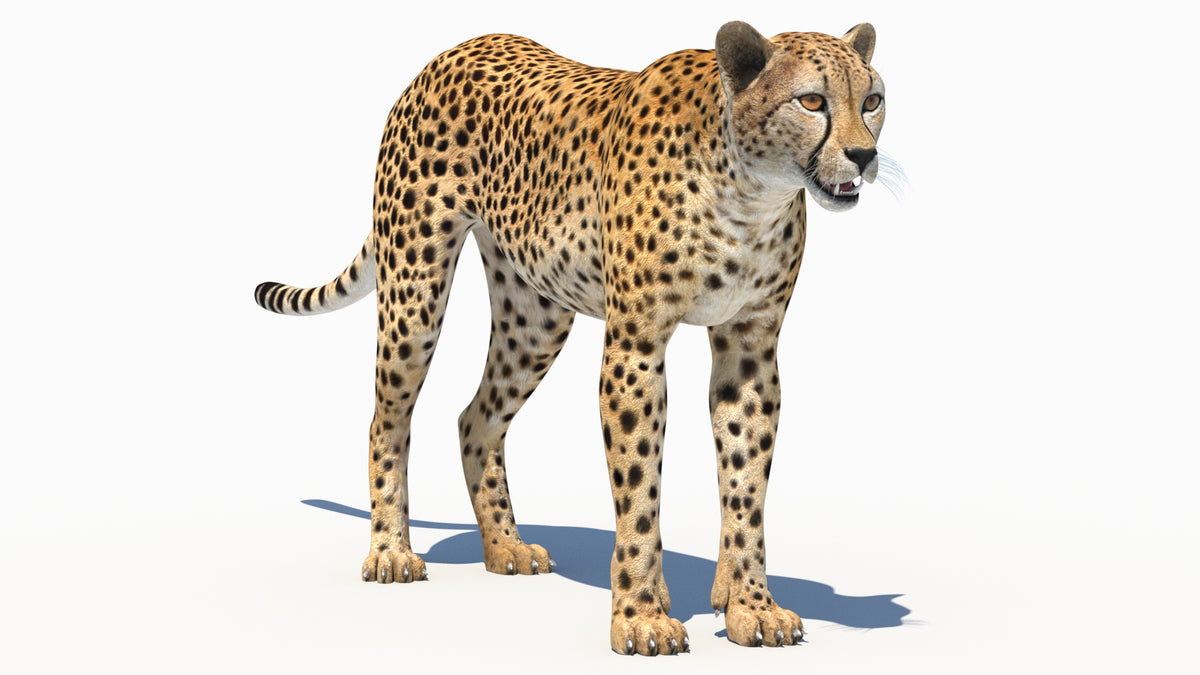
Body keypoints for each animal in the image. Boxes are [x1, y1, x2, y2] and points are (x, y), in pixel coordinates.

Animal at [255, 20, 887, 655]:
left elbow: (746, 484)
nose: (865, 154)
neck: (750, 193)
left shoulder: (751, 349)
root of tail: (457, 49)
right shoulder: (635, 346)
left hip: (536, 315)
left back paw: (506, 546)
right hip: (415, 289)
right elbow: (639, 490)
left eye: (872, 101)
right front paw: (641, 616)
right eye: (812, 101)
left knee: (475, 418)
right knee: (386, 419)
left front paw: (751, 606)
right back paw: (390, 552)